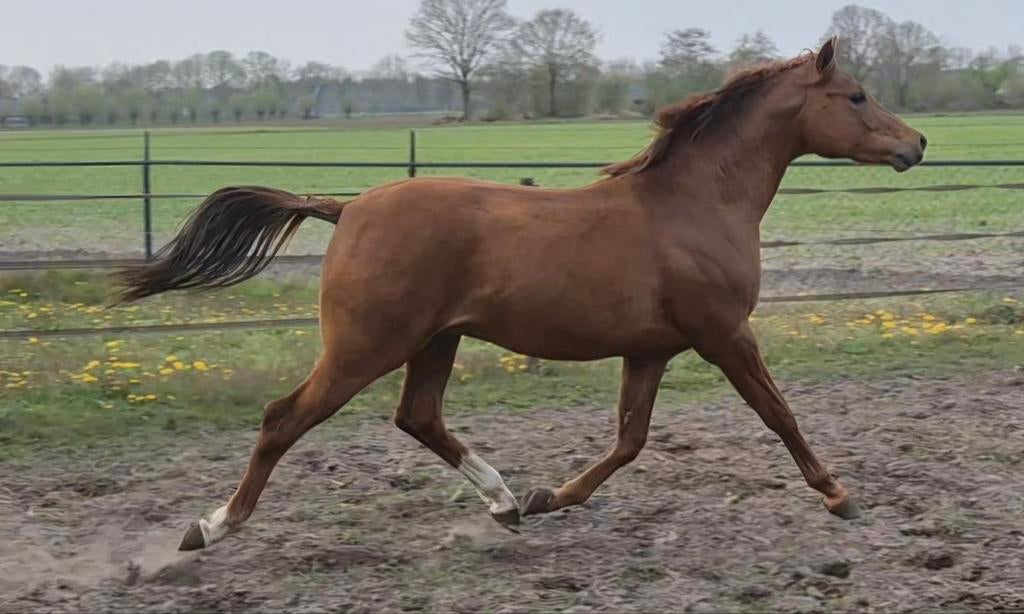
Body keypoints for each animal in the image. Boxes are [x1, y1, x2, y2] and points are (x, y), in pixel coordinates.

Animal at [116, 38, 927, 551]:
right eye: (856, 95)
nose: (915, 145)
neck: (695, 204)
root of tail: (347, 209)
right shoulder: (724, 334)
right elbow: (779, 414)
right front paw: (840, 496)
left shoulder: (652, 350)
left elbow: (629, 441)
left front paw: (550, 497)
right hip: (366, 345)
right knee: (284, 419)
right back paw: (210, 528)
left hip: (435, 340)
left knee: (419, 418)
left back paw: (505, 502)